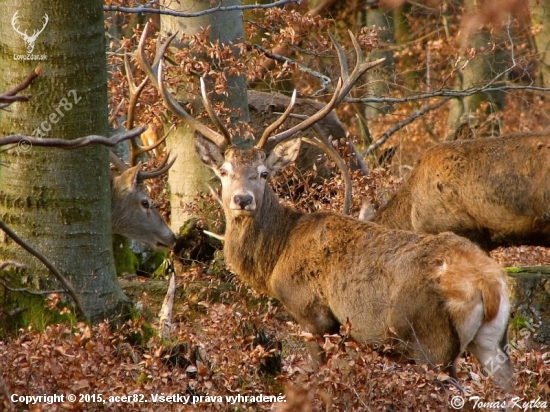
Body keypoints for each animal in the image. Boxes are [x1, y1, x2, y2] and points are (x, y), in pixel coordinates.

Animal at [136, 24, 516, 392]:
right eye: (224, 171)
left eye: (264, 173)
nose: (242, 199)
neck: (276, 257)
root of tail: (488, 285)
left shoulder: (312, 312)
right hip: (492, 342)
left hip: (431, 342)